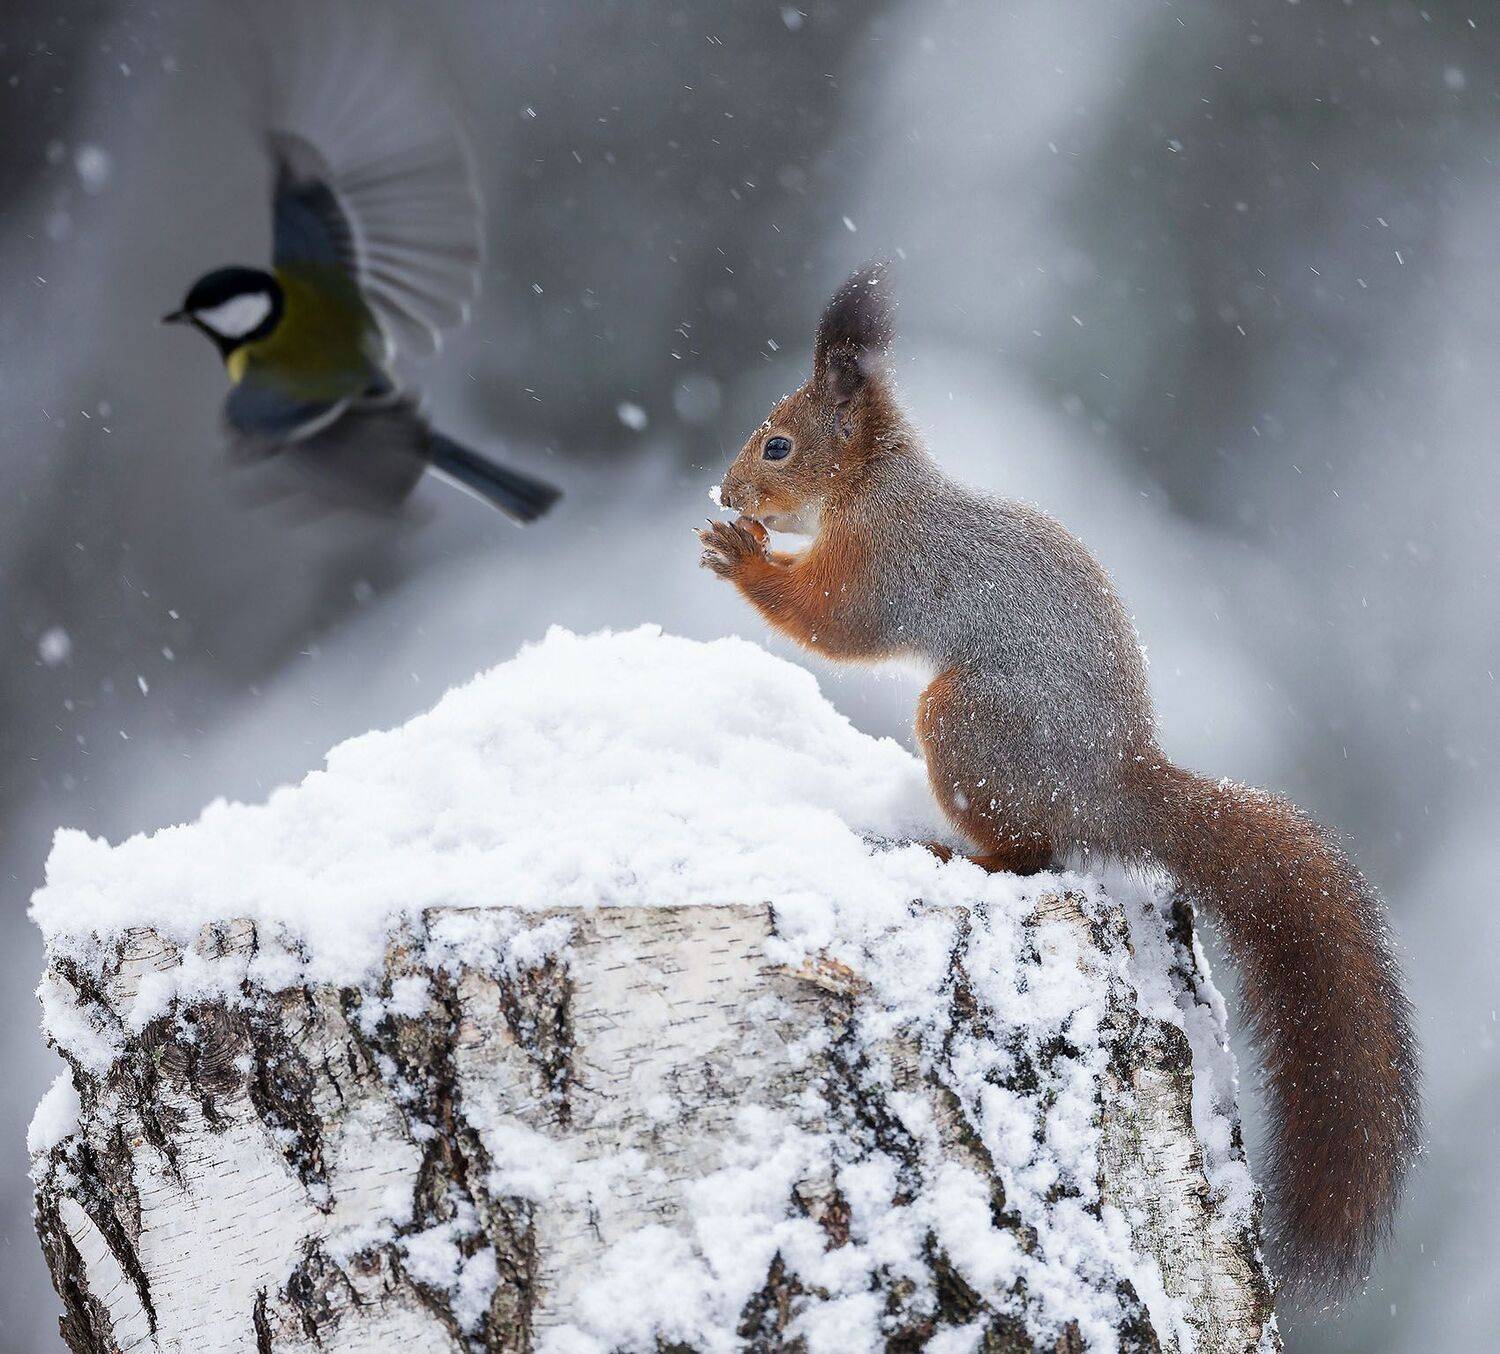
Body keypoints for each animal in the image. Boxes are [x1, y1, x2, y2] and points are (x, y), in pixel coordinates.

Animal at [698, 264, 1420, 1308]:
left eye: (779, 443)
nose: (728, 489)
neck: (878, 485)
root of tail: (1115, 785)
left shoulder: (888, 564)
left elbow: (833, 620)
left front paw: (742, 555)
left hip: (967, 728)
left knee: (1032, 853)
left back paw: (955, 851)